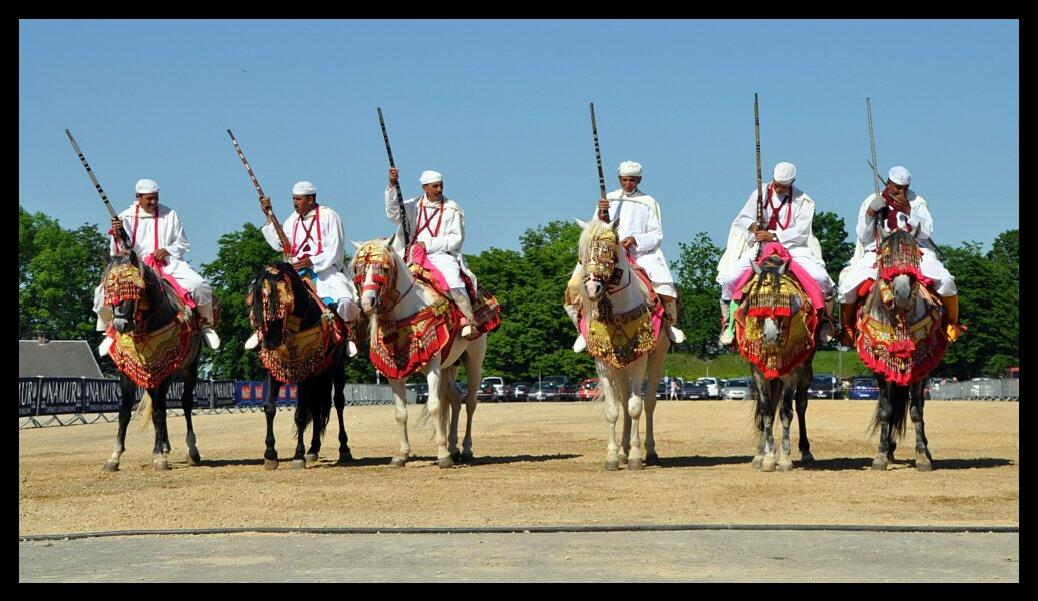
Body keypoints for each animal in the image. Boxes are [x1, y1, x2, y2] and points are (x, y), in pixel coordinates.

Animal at [247, 263, 352, 471]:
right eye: (256, 303)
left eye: (281, 302)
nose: (270, 341)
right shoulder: (274, 372)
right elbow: (269, 408)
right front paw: (270, 454)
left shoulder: (306, 375)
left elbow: (301, 415)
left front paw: (298, 455)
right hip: (320, 376)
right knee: (317, 408)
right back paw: (313, 449)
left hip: (336, 370)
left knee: (338, 403)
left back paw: (343, 448)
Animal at [350, 235, 487, 471]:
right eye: (358, 269)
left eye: (383, 268)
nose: (367, 303)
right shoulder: (394, 372)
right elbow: (400, 413)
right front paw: (403, 455)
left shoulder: (432, 365)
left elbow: (433, 406)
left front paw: (442, 455)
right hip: (449, 363)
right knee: (454, 398)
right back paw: (453, 447)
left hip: (474, 360)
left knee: (470, 402)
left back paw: (466, 449)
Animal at [572, 219, 668, 473]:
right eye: (582, 253)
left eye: (608, 248)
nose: (592, 288)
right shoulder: (604, 365)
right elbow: (613, 410)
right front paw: (613, 457)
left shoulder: (640, 359)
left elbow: (636, 406)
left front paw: (635, 456)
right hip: (621, 367)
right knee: (623, 402)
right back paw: (624, 451)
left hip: (657, 358)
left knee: (649, 403)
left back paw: (650, 452)